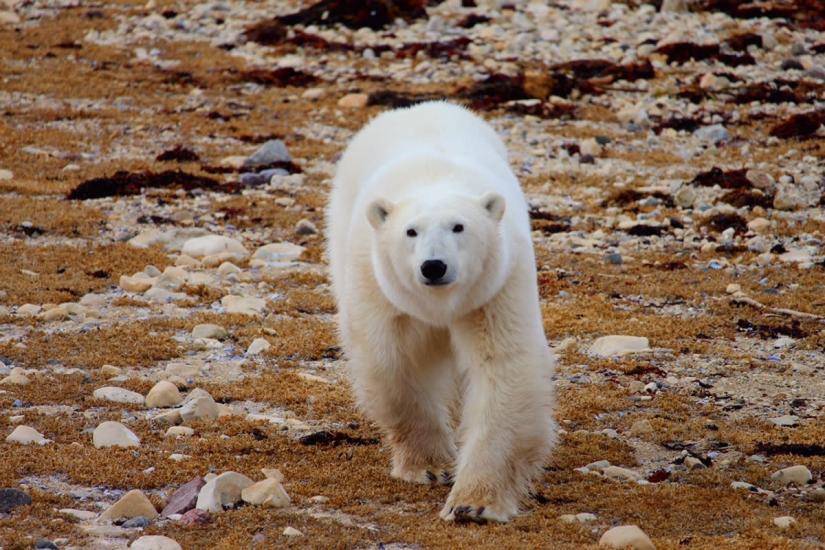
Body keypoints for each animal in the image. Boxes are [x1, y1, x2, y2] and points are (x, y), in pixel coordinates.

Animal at [326, 101, 556, 523]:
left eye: (459, 226)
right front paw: (430, 465)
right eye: (410, 231)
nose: (434, 266)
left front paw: (474, 502)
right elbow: (392, 362)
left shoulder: (495, 288)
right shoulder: (378, 285)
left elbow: (503, 367)